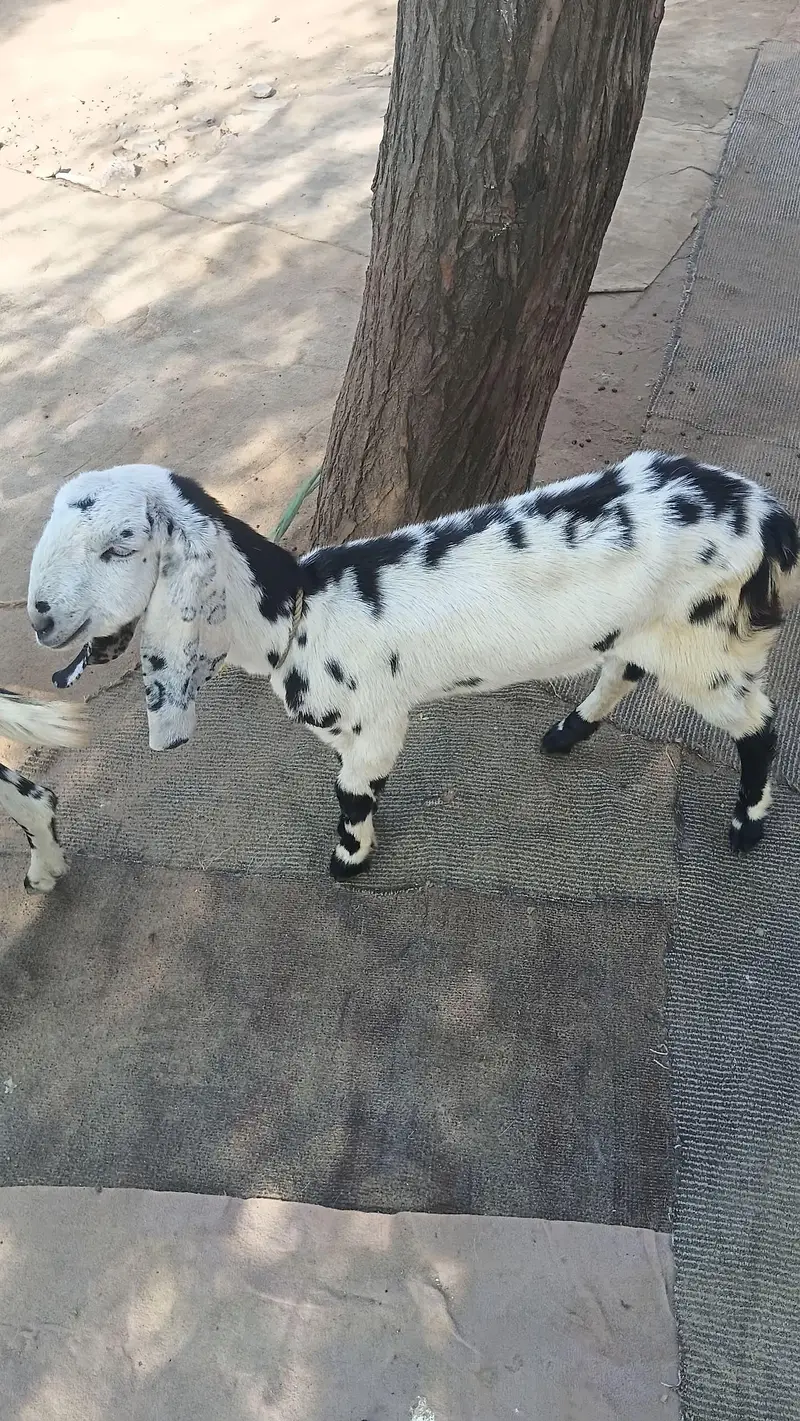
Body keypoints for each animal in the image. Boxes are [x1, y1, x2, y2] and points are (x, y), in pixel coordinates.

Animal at [27, 452, 798, 877]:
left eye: (120, 545)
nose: (38, 618)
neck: (298, 610)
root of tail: (768, 516)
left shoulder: (375, 721)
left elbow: (351, 793)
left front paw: (348, 863)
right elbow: (361, 787)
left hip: (703, 643)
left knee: (758, 724)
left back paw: (746, 827)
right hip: (650, 629)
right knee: (625, 670)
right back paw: (564, 733)